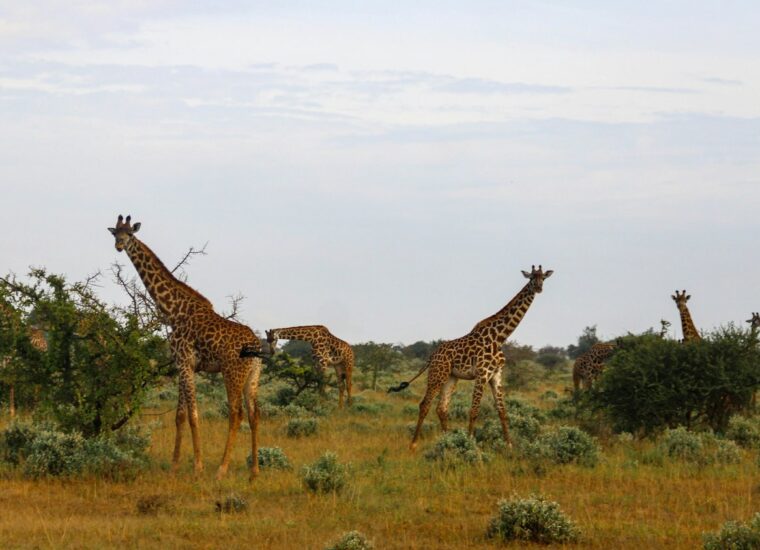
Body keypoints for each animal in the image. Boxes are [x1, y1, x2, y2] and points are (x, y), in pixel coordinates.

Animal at [109, 215, 265, 480]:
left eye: (129, 234)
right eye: (114, 233)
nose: (119, 246)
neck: (173, 310)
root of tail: (256, 347)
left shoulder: (185, 362)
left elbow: (193, 415)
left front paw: (197, 466)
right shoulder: (183, 365)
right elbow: (179, 415)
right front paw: (174, 465)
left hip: (232, 373)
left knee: (236, 414)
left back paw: (221, 469)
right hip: (252, 376)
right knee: (254, 415)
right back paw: (254, 471)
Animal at [389, 265, 553, 450]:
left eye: (543, 278)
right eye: (531, 277)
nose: (539, 288)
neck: (500, 337)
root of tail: (431, 356)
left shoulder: (496, 375)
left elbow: (502, 411)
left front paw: (509, 445)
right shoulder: (482, 374)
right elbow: (474, 411)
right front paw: (469, 443)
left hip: (451, 377)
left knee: (441, 408)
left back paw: (447, 440)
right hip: (438, 375)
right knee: (425, 404)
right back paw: (414, 444)